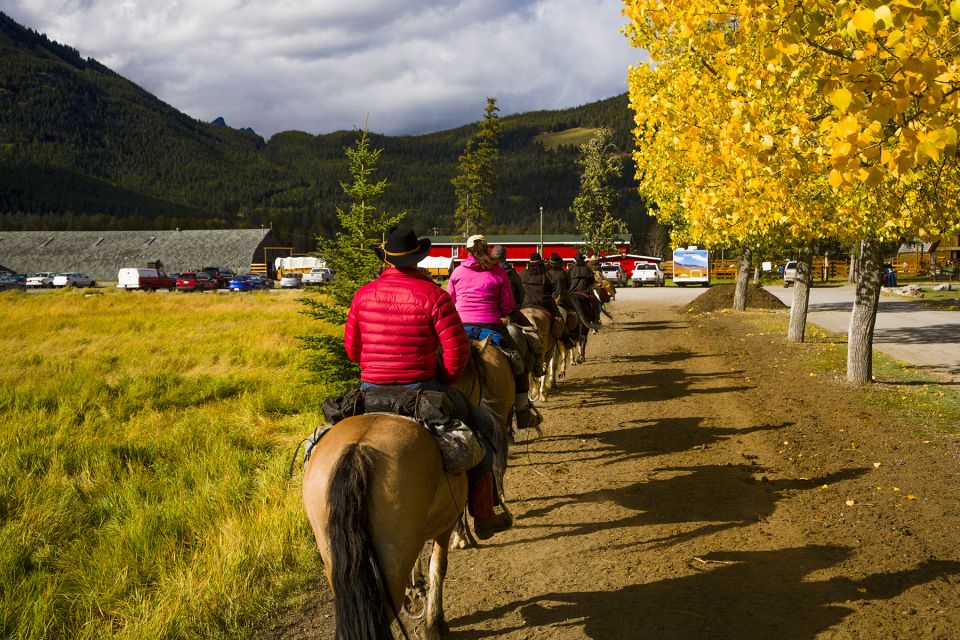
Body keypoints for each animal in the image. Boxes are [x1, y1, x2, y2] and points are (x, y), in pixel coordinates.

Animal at [304, 338, 516, 636]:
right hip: (391, 557)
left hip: (333, 557)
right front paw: (435, 624)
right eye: (480, 377)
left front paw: (416, 587)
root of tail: (357, 451)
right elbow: (438, 565)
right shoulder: (444, 522)